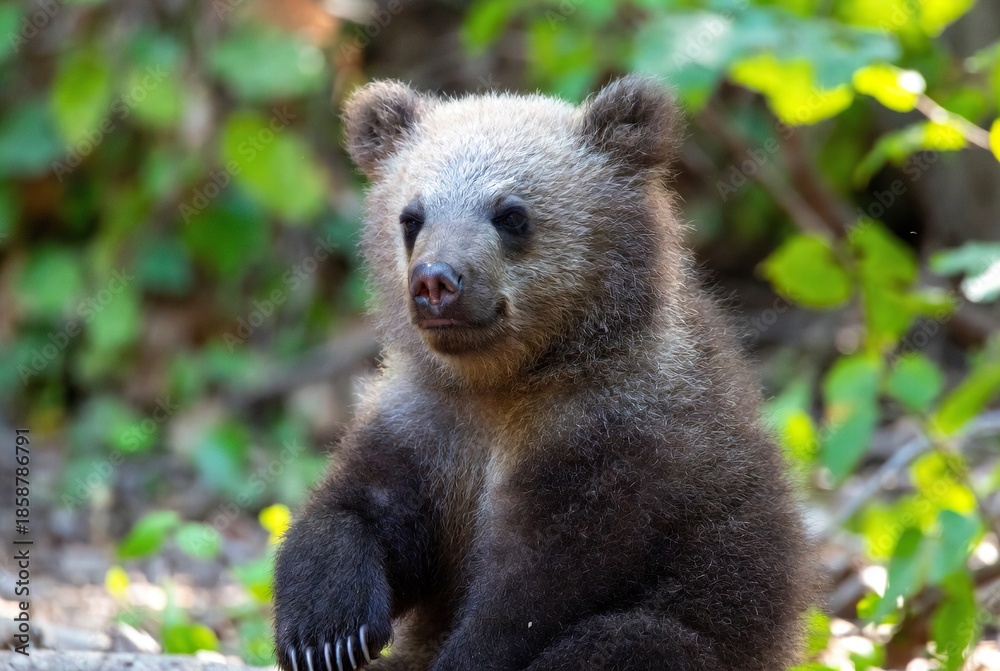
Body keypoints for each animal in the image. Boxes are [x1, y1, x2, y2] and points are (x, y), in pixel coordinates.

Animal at [272, 75, 811, 671]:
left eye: (511, 214)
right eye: (411, 217)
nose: (435, 281)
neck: (507, 379)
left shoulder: (613, 432)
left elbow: (543, 584)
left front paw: (467, 654)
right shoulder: (429, 419)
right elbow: (362, 506)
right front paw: (327, 636)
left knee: (627, 640)